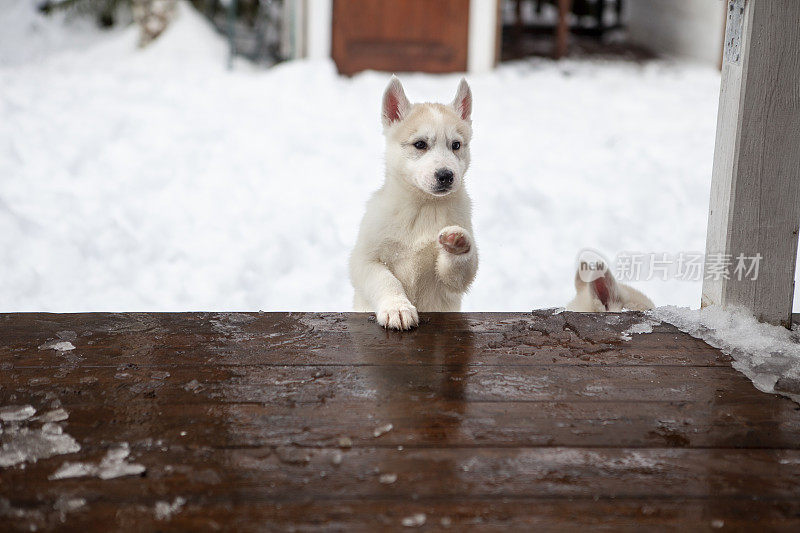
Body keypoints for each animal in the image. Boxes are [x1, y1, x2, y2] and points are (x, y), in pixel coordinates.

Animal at [348, 75, 476, 328]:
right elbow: (386, 280)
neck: (423, 208)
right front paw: (397, 308)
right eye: (420, 144)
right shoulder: (365, 260)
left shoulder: (448, 282)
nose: (446, 175)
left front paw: (457, 243)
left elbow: (460, 270)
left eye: (456, 145)